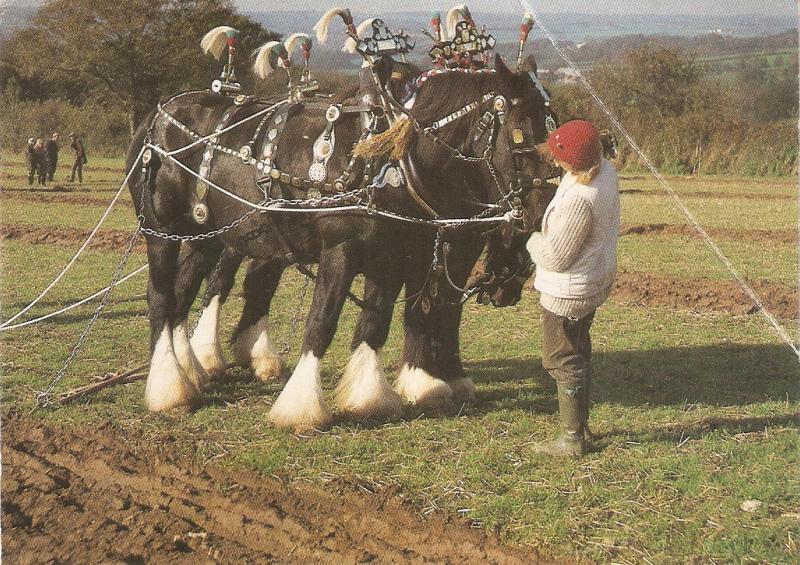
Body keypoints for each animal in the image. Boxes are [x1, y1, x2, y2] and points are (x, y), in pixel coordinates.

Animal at [126, 54, 556, 432]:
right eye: (520, 129)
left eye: (554, 127)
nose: (543, 209)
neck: (391, 161)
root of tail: (157, 114)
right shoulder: (343, 250)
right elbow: (323, 322)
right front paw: (301, 408)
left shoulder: (395, 255)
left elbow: (379, 322)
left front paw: (373, 397)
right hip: (162, 231)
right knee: (163, 297)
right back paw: (169, 389)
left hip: (207, 235)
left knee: (186, 292)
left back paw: (189, 371)